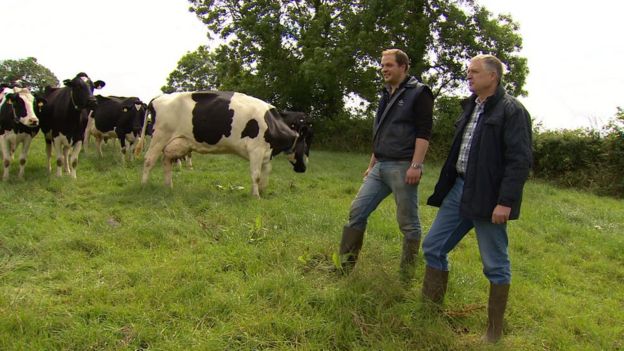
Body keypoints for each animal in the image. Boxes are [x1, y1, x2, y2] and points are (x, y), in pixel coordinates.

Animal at [136, 91, 312, 197]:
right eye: (305, 146)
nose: (304, 169)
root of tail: (158, 98)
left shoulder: (265, 153)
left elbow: (266, 172)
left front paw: (261, 190)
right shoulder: (256, 149)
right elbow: (256, 175)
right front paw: (256, 196)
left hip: (176, 143)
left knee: (167, 162)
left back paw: (168, 187)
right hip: (159, 137)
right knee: (149, 160)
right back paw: (144, 186)